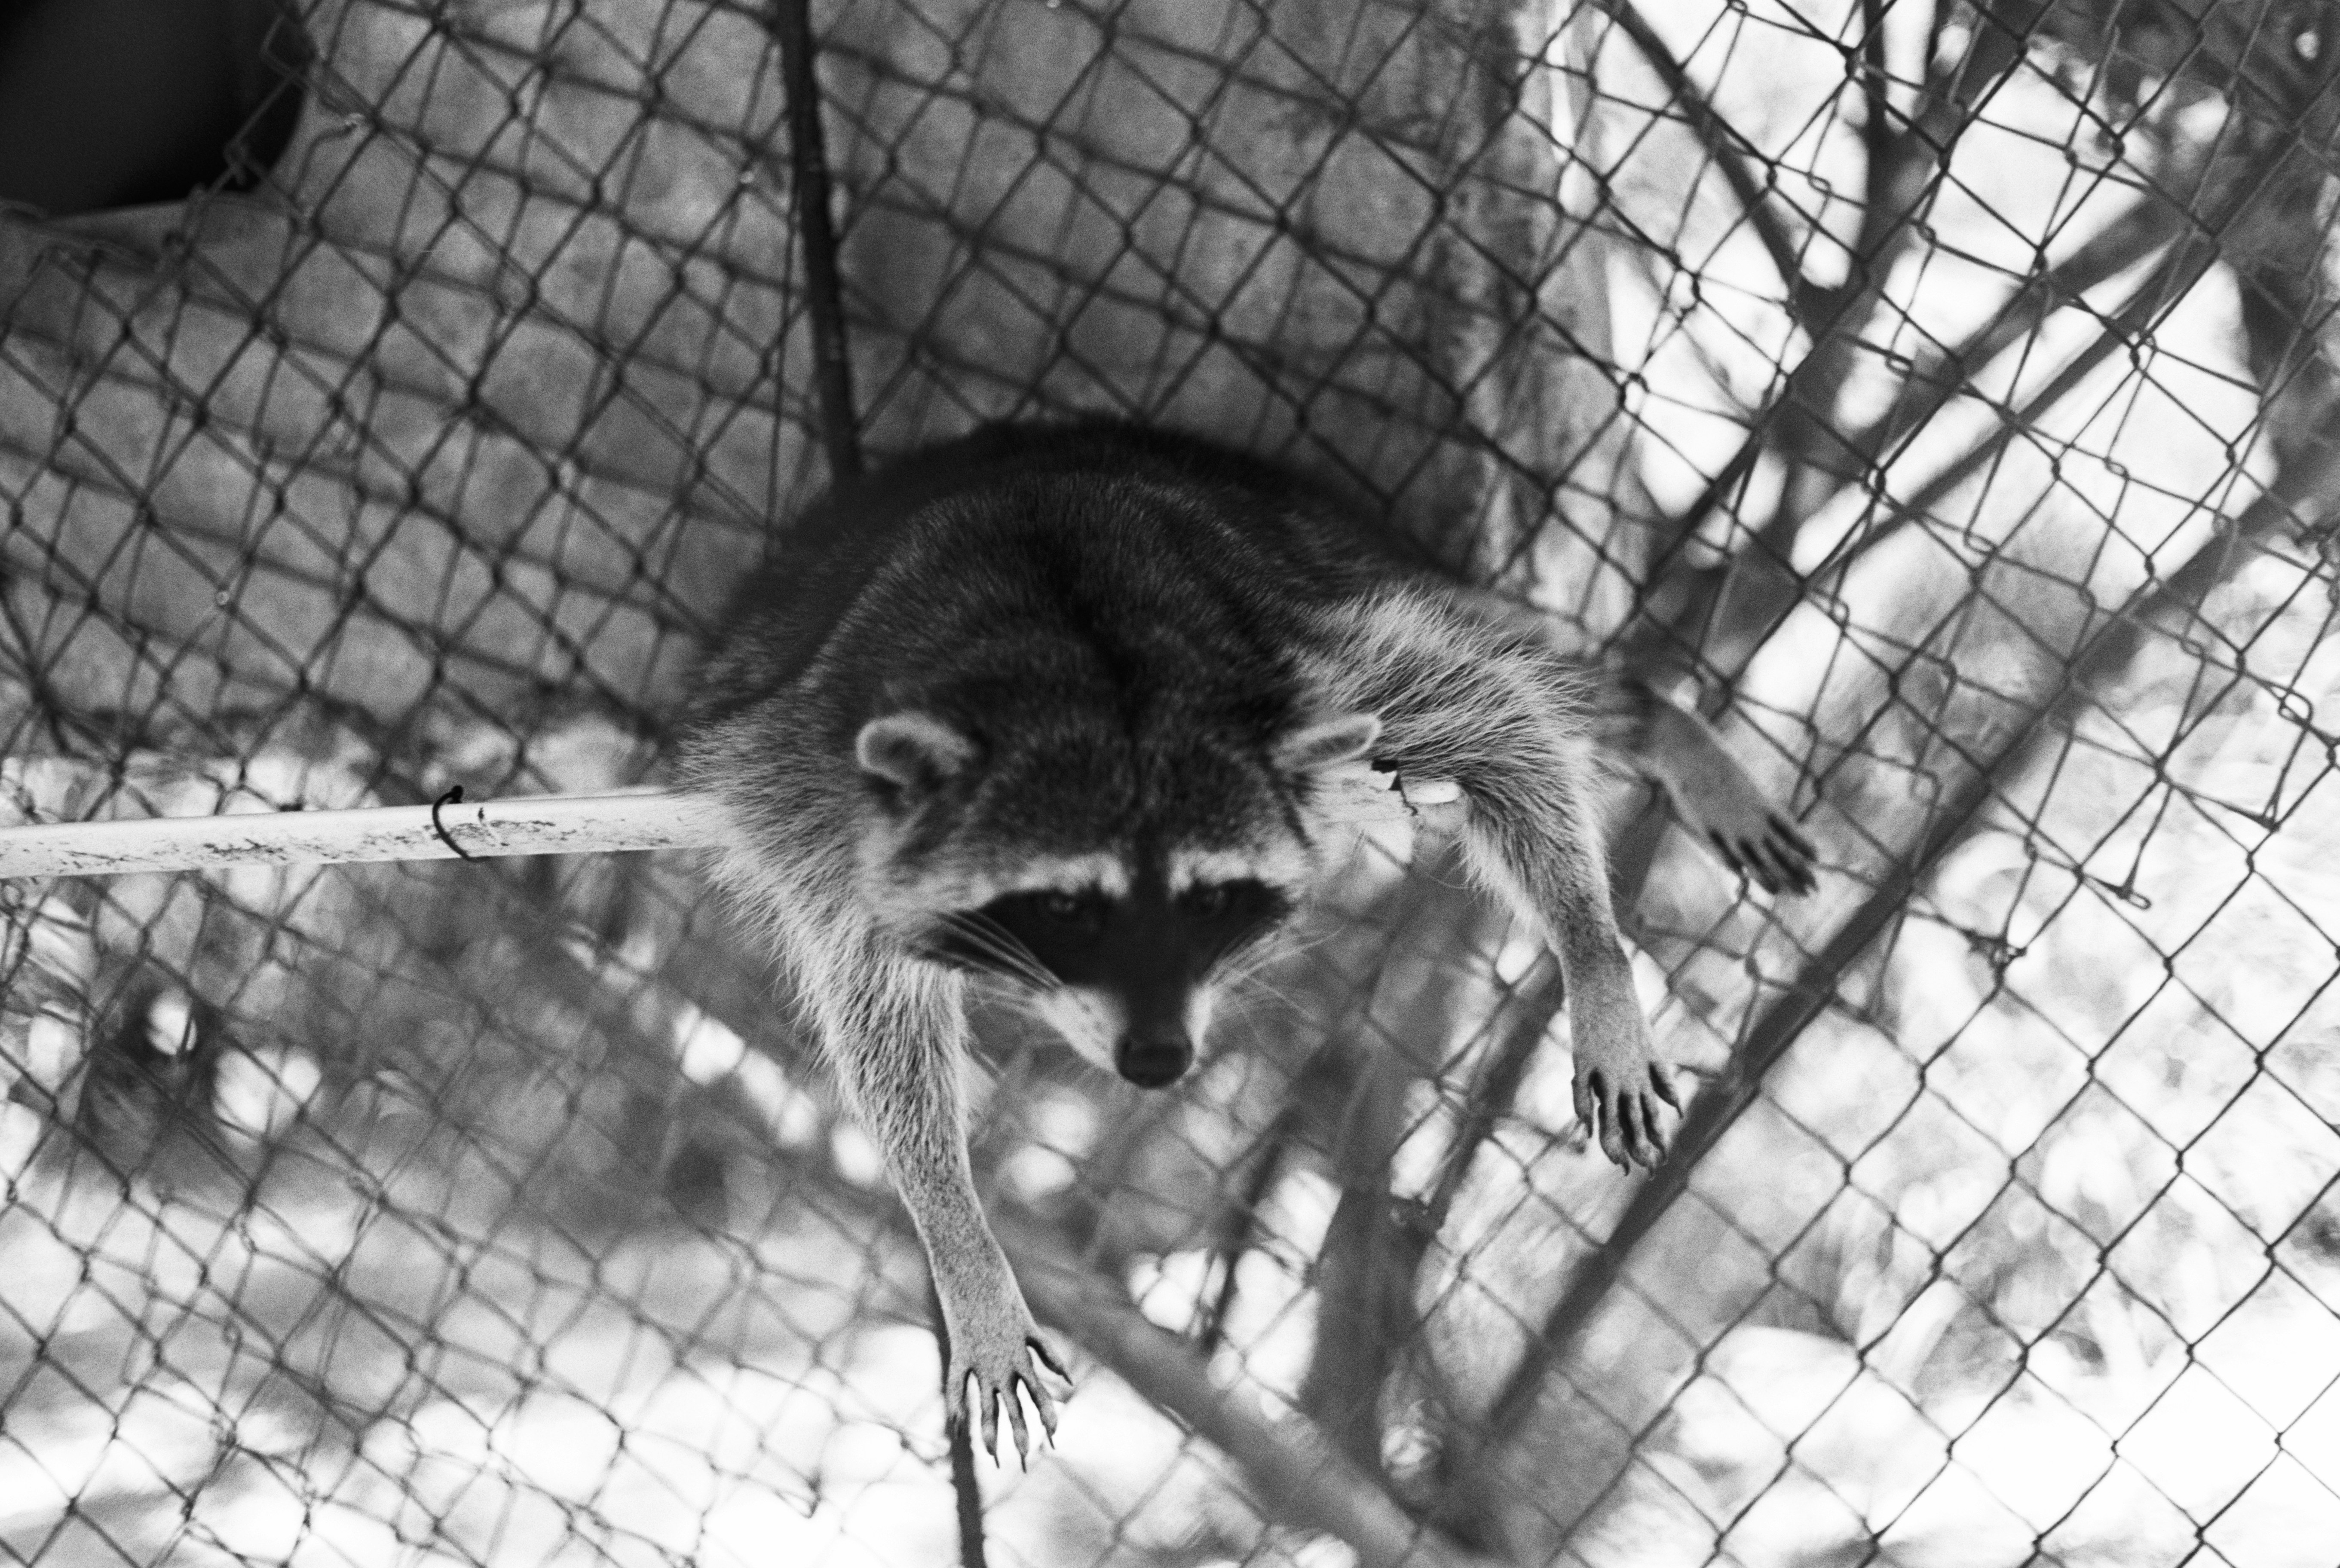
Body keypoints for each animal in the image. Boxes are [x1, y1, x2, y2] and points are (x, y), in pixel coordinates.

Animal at [678, 424, 1813, 1461]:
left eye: (1210, 898)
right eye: (1066, 908)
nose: (1155, 1058)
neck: (1080, 655)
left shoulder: (1317, 672)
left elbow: (1498, 715)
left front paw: (1593, 953)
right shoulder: (822, 787)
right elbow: (878, 1012)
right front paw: (958, 1236)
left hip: (1329, 549)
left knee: (1534, 666)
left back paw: (1656, 719)